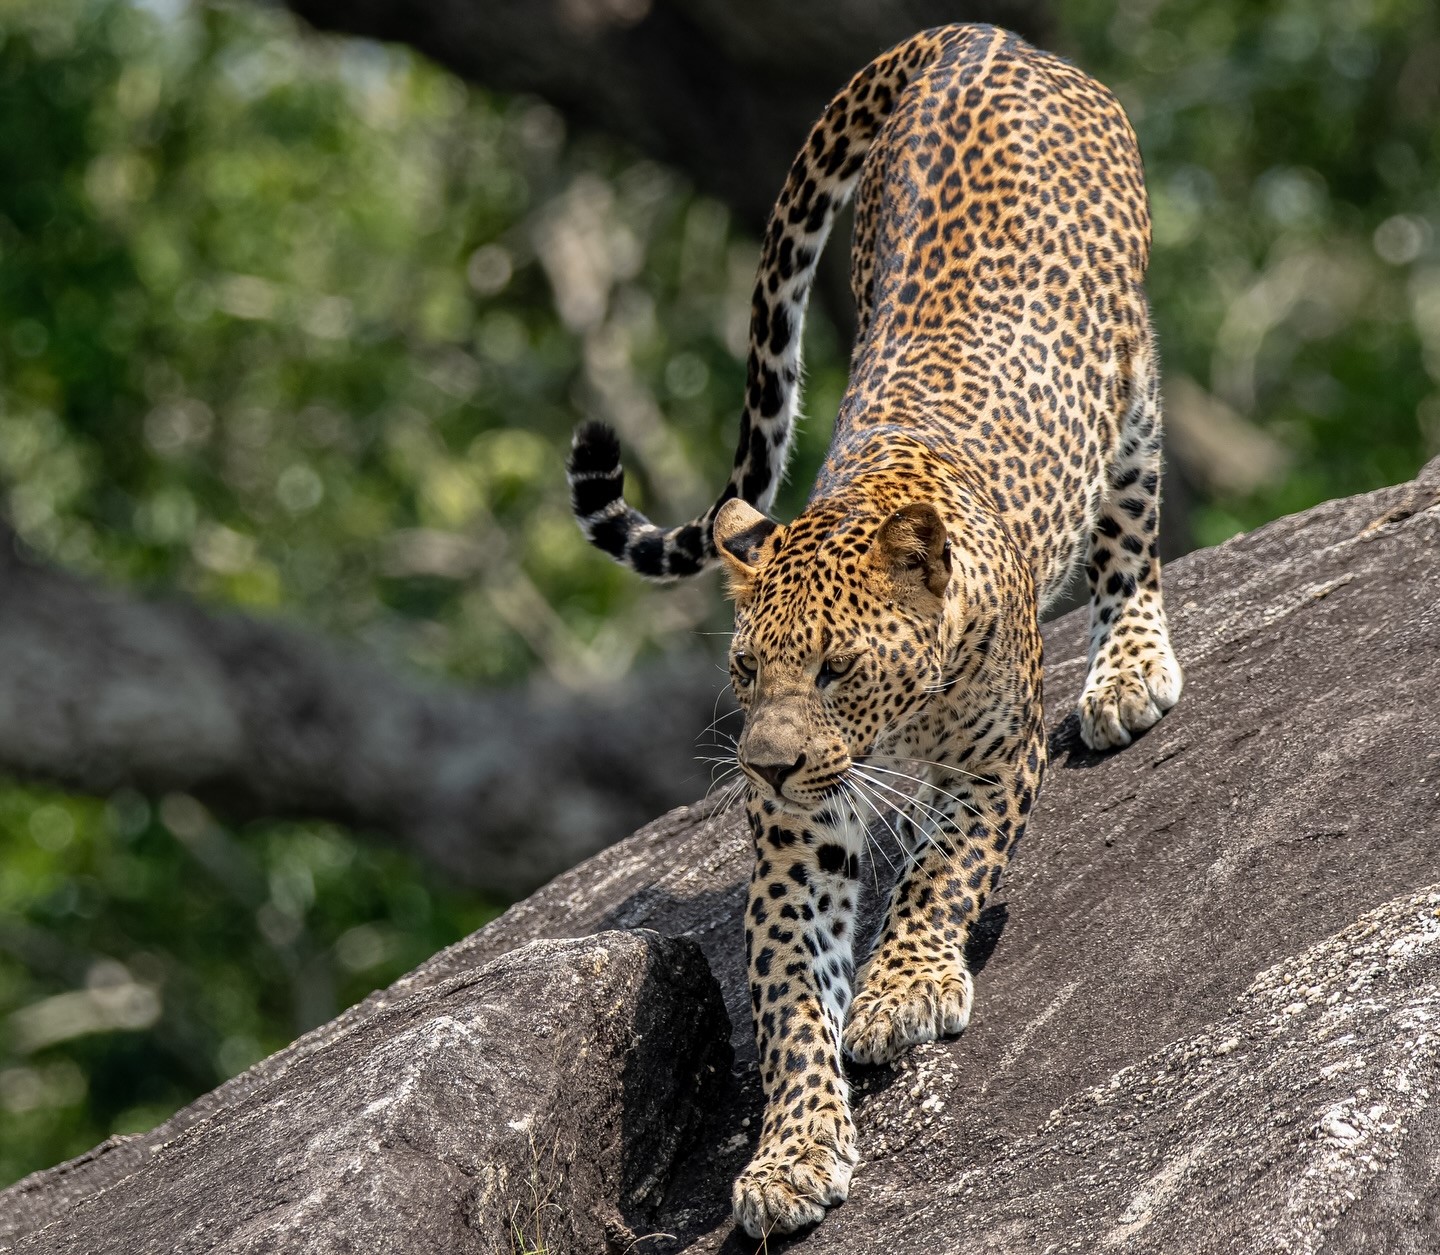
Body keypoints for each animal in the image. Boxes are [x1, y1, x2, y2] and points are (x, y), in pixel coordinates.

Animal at [561, 22, 1180, 1243]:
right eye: (745, 669)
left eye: (838, 667)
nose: (764, 761)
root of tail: (979, 38)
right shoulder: (797, 833)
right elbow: (791, 995)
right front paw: (795, 1150)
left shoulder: (998, 758)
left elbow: (946, 868)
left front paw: (902, 987)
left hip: (1129, 377)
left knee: (1130, 529)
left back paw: (1129, 666)